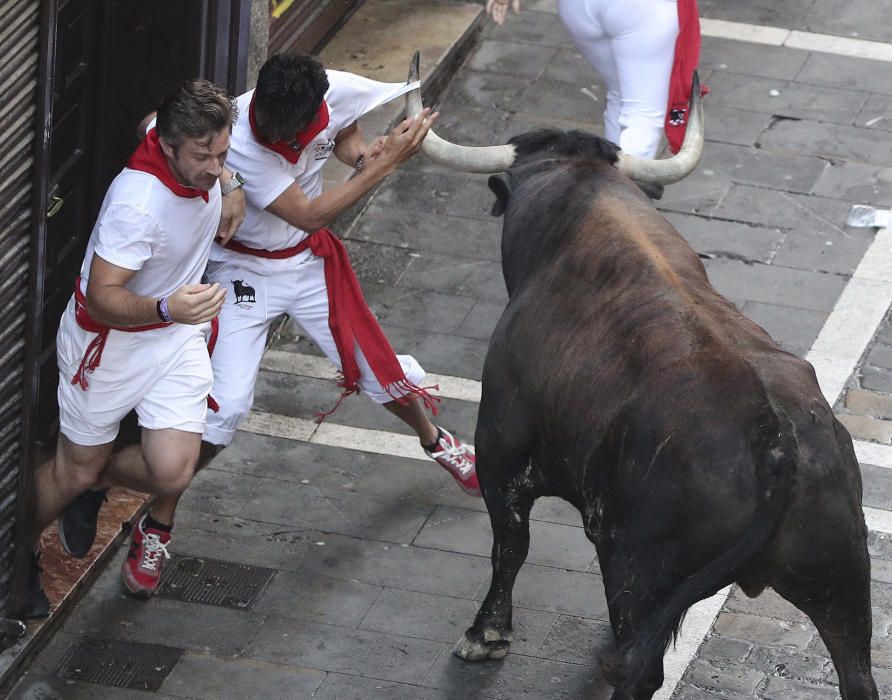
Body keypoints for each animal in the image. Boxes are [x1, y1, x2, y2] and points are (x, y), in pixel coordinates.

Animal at [408, 52, 880, 696]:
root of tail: (777, 441)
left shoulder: (502, 448)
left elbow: (510, 544)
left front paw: (486, 636)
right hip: (842, 580)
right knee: (857, 668)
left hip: (640, 568)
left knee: (639, 667)